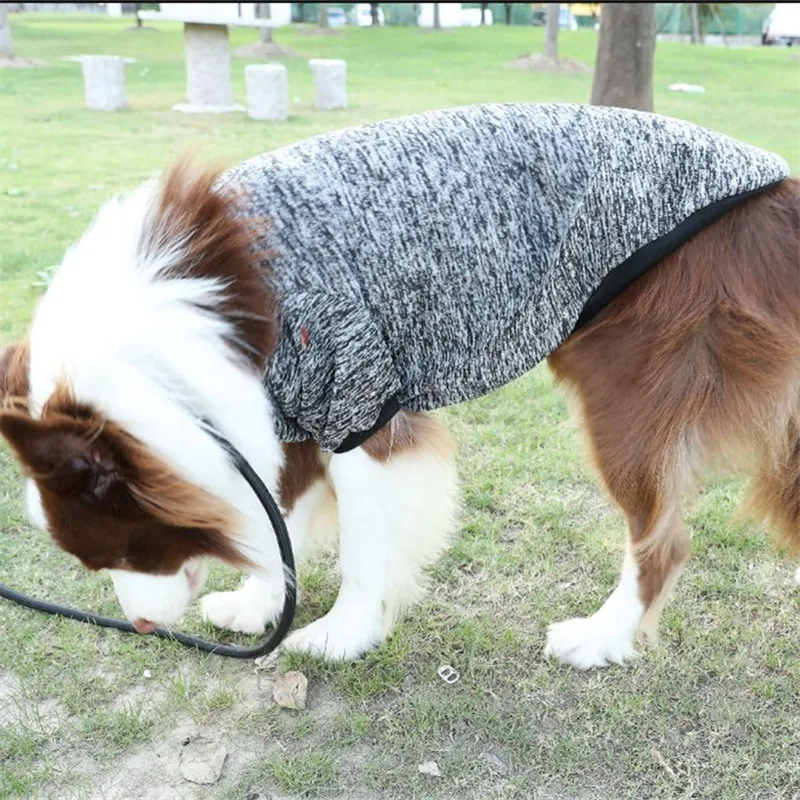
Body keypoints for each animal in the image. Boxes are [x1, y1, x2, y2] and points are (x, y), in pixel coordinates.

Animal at [1, 106, 800, 668]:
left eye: (124, 551)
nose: (138, 624)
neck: (193, 319)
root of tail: (783, 199)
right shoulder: (283, 411)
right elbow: (281, 520)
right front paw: (260, 607)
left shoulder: (354, 397)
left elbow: (362, 544)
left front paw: (341, 636)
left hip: (626, 383)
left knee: (661, 541)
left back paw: (598, 640)